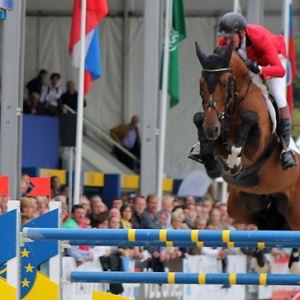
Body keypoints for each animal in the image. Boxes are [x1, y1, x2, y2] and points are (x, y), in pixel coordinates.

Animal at [192, 41, 300, 274]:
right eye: (201, 83)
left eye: (225, 83)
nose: (211, 128)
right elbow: (200, 125)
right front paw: (215, 165)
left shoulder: (255, 151)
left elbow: (249, 119)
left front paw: (233, 162)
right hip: (239, 206)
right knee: (267, 225)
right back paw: (260, 260)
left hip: (295, 208)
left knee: (294, 227)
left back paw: (294, 262)